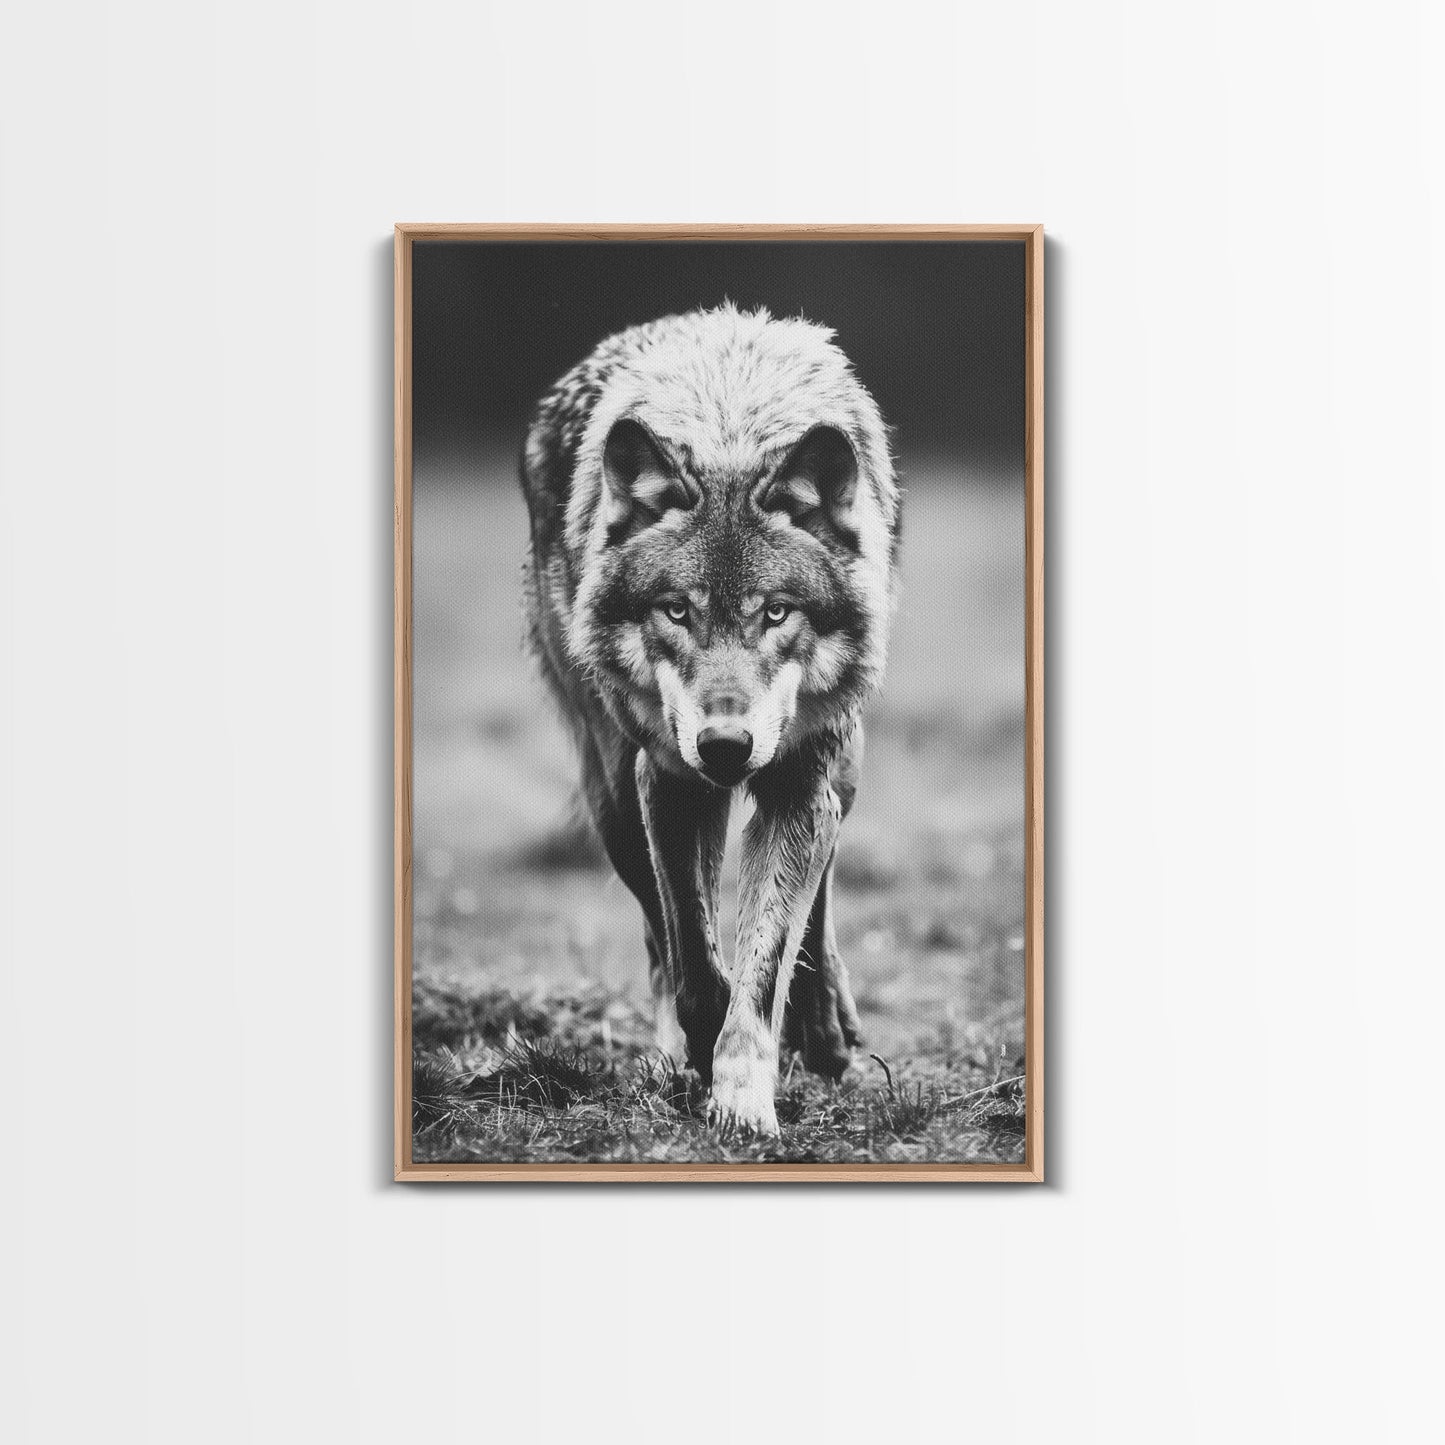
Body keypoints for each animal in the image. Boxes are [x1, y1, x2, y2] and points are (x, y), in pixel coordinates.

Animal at [519, 304, 900, 1136]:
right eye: (675, 610)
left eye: (776, 612)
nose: (725, 745)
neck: (729, 427)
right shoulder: (666, 780)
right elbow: (694, 955)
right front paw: (703, 1047)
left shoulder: (795, 783)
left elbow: (765, 955)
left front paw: (743, 1098)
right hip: (611, 792)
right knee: (659, 937)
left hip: (839, 763)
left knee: (819, 890)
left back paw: (825, 1025)